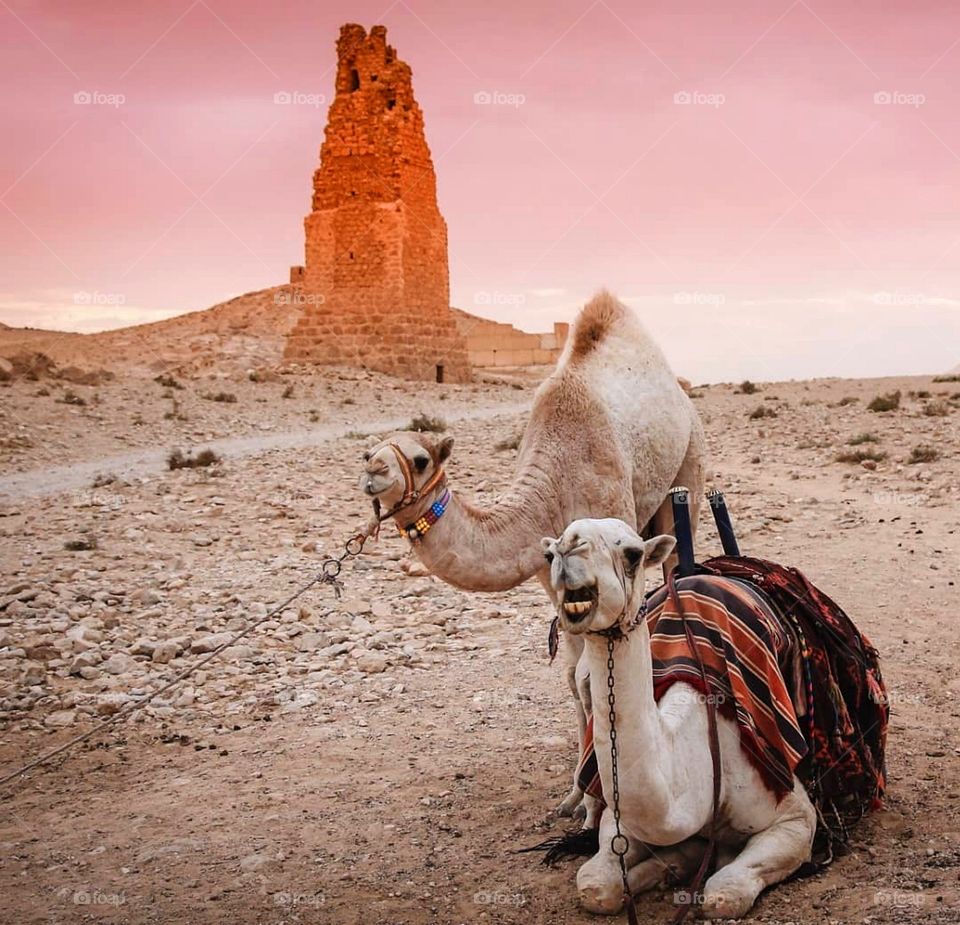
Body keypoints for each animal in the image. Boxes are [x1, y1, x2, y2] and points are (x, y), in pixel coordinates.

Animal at [358, 291, 706, 820]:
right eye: (371, 451)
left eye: (418, 459)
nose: (373, 471)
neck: (550, 486)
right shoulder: (556, 578)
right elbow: (573, 679)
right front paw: (576, 797)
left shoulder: (620, 546)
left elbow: (590, 676)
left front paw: (598, 801)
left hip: (689, 468)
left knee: (676, 560)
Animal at [541, 518, 817, 920]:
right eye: (549, 553)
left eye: (633, 554)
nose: (569, 547)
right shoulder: (619, 821)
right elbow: (596, 886)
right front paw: (659, 871)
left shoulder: (795, 818)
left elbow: (723, 894)